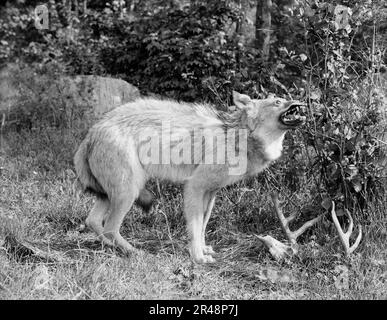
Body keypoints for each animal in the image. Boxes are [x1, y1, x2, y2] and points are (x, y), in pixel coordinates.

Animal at [74, 91, 308, 264]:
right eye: (278, 102)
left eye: (285, 97)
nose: (301, 102)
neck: (238, 138)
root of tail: (91, 133)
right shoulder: (194, 188)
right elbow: (194, 227)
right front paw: (198, 257)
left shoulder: (211, 193)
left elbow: (203, 225)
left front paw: (204, 249)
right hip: (128, 193)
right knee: (110, 228)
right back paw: (135, 252)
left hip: (113, 195)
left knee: (93, 221)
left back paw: (111, 248)